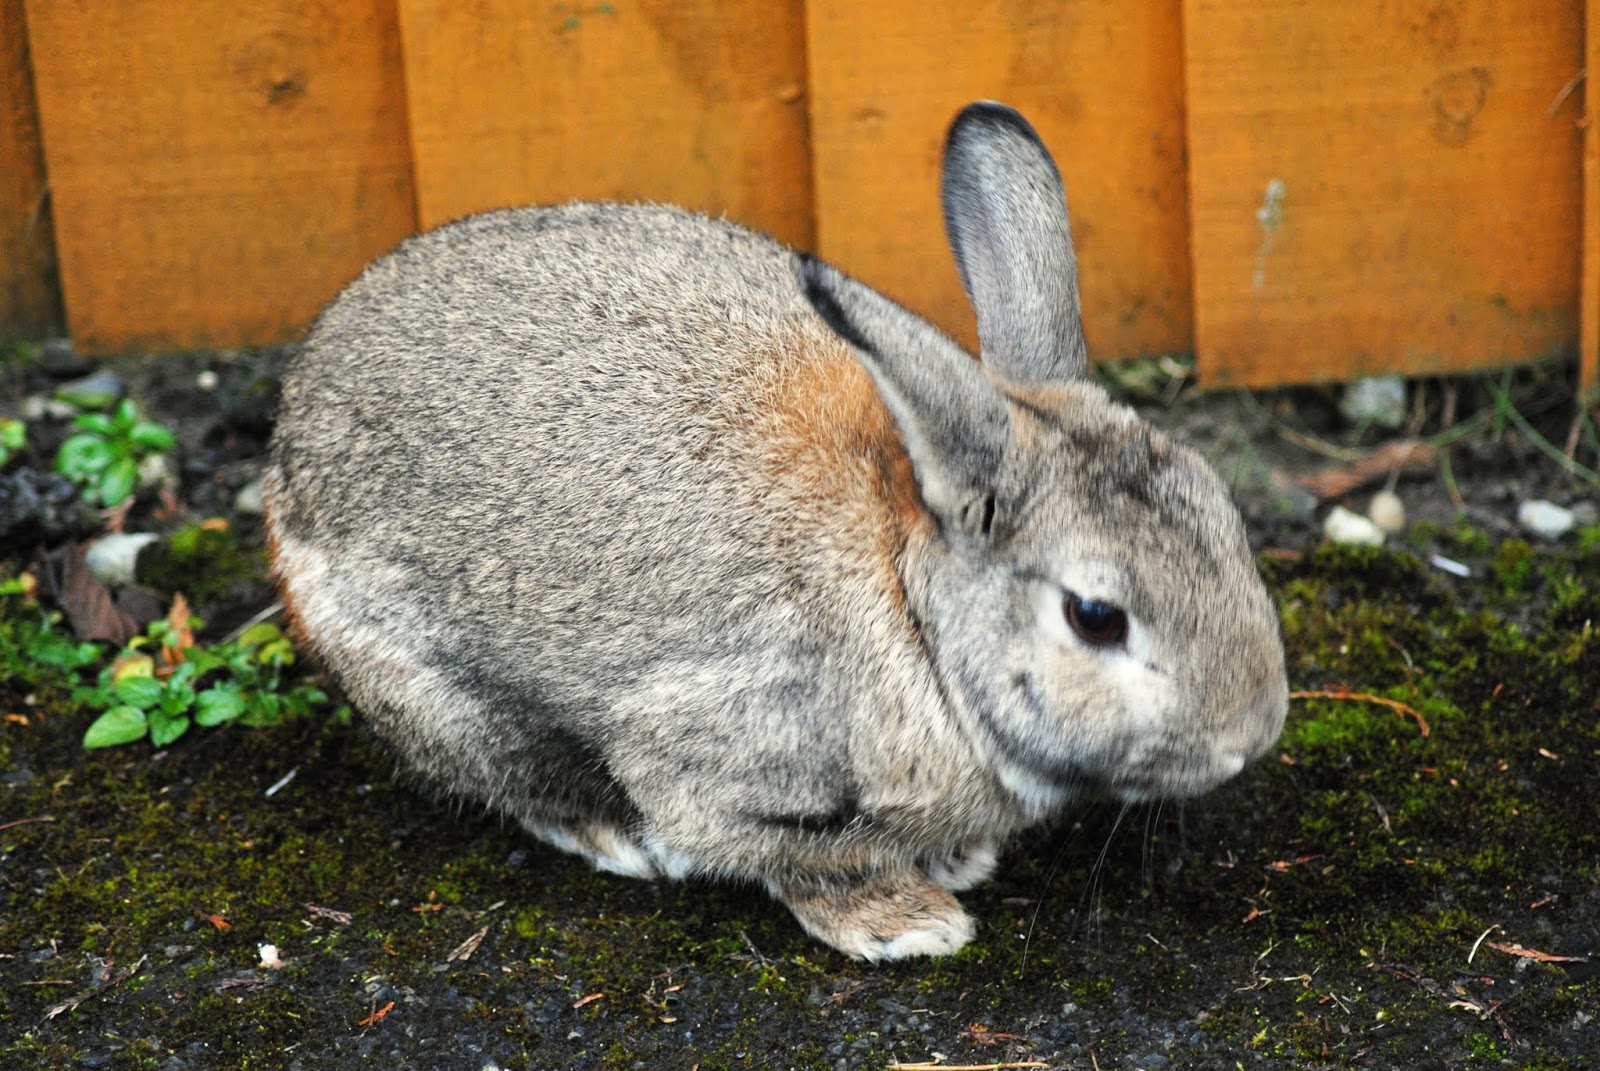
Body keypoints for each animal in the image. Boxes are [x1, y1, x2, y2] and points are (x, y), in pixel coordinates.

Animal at [263, 101, 1288, 961]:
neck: (914, 605)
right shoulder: (717, 762)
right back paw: (615, 837)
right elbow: (798, 857)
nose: (1252, 734)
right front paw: (908, 922)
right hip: (433, 687)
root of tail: (287, 440)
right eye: (1095, 615)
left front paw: (956, 862)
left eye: (1225, 519)